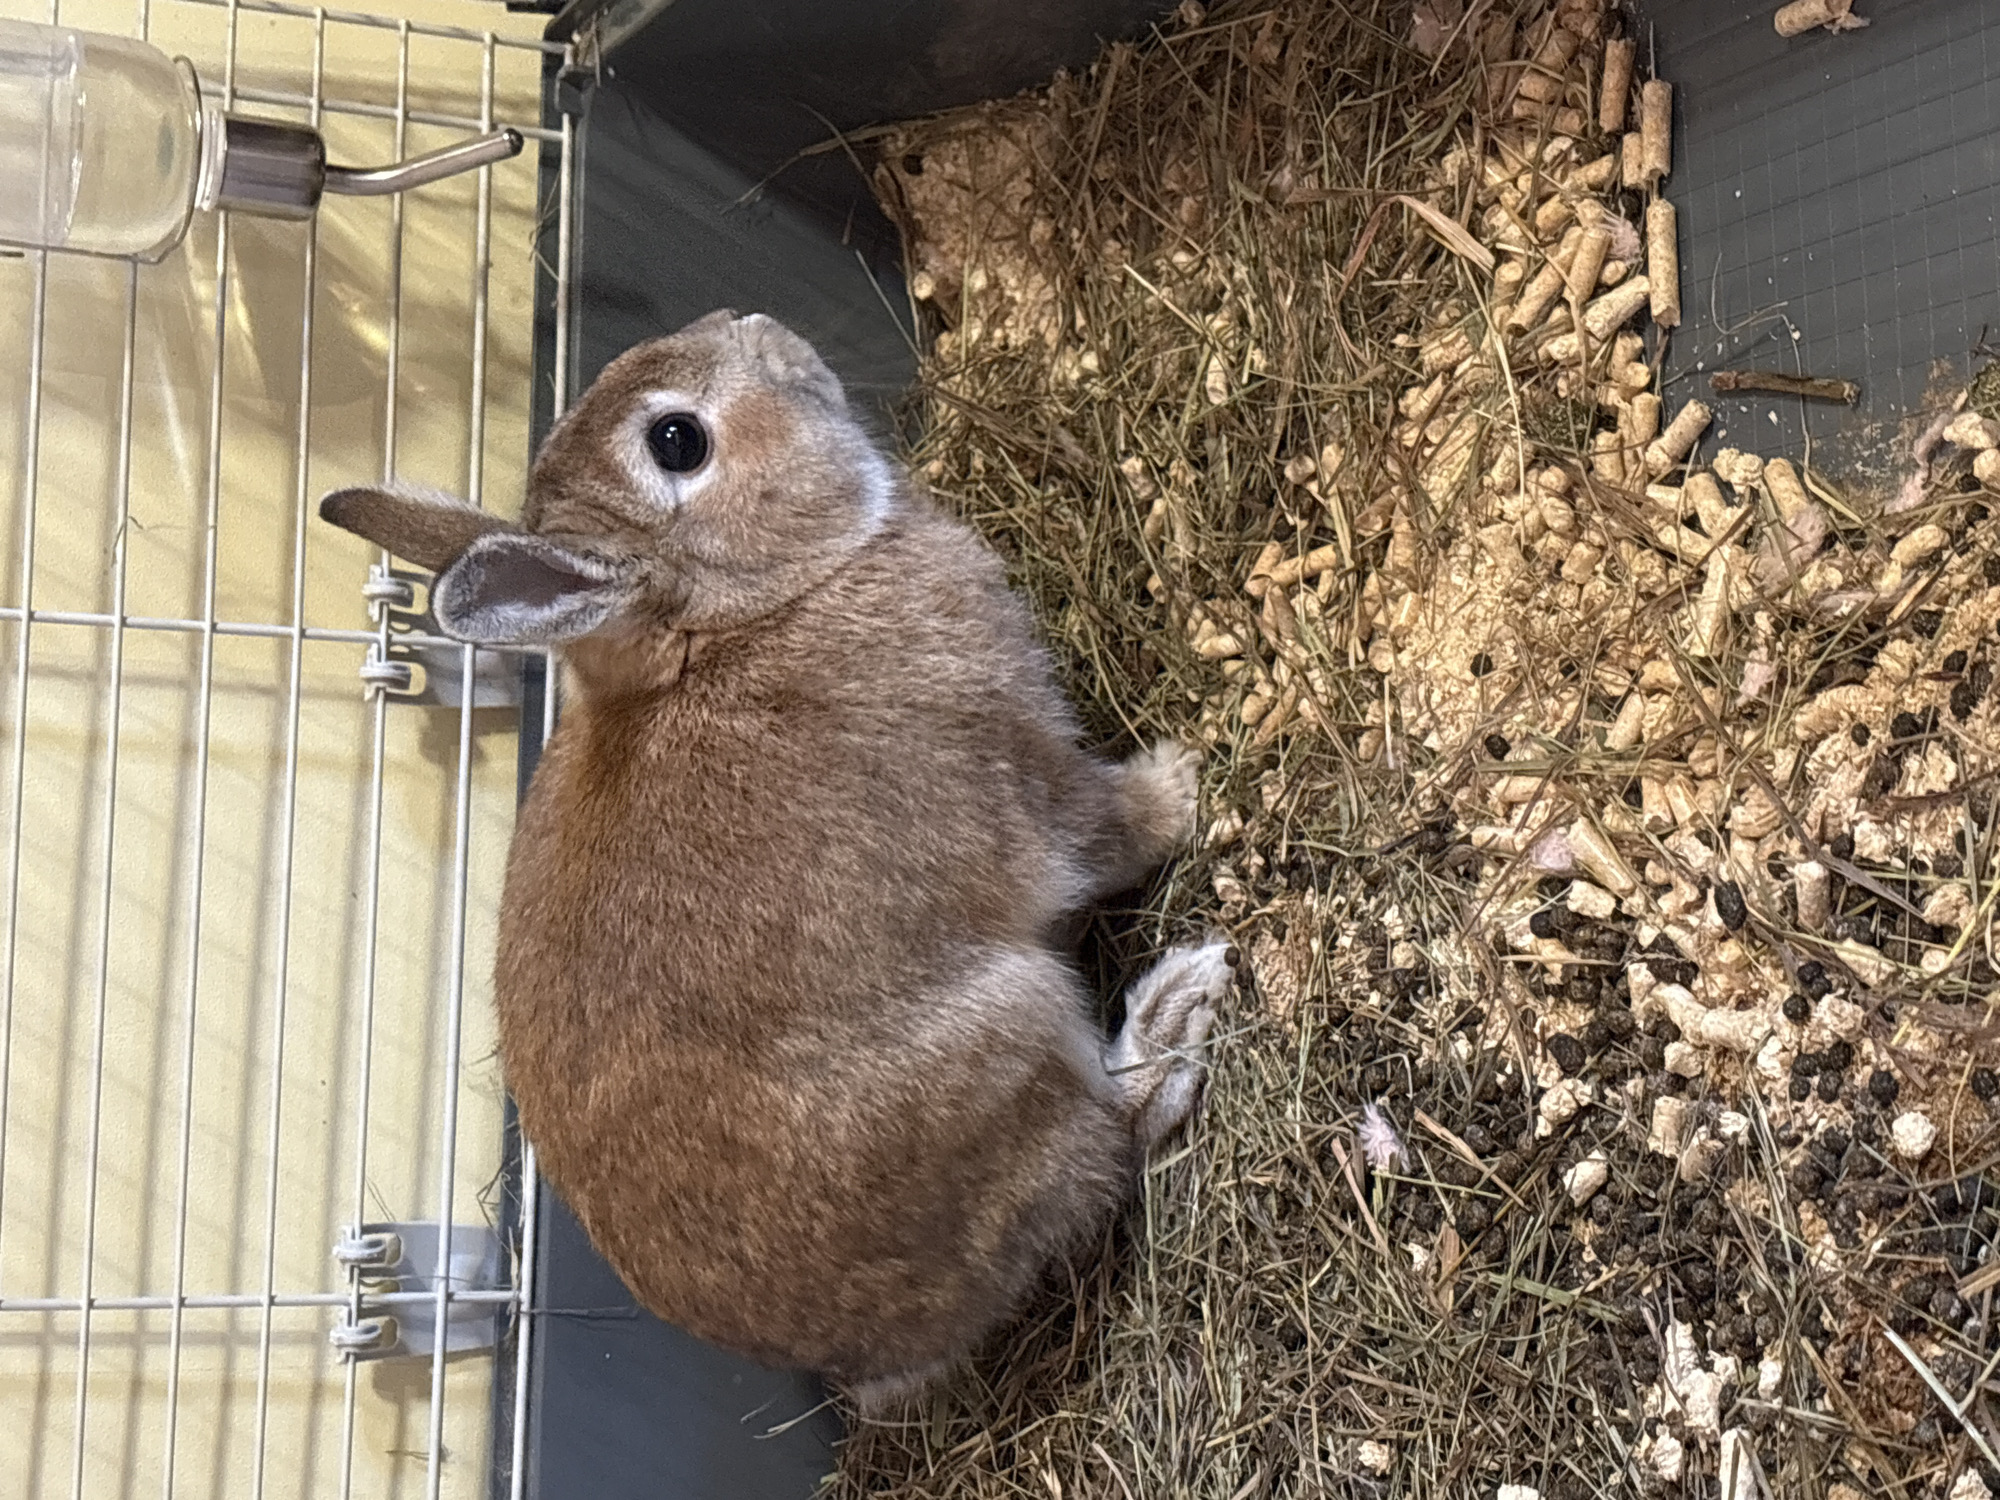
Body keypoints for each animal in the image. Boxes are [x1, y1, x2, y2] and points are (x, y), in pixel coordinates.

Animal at [317, 309, 1228, 1408]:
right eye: (676, 441)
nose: (752, 324)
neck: (750, 614)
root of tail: (877, 1359)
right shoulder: (1020, 777)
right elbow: (1105, 831)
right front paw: (1185, 782)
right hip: (1010, 1037)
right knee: (1105, 1148)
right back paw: (1177, 1014)